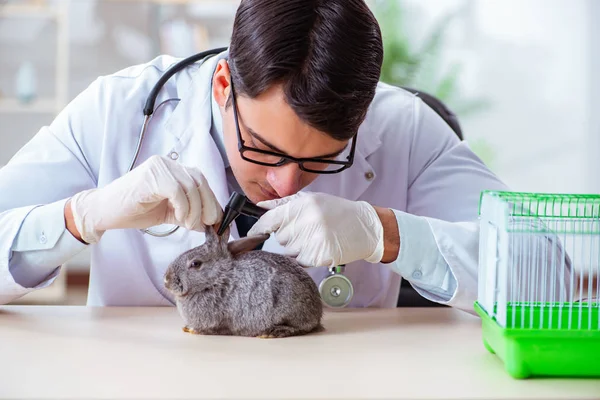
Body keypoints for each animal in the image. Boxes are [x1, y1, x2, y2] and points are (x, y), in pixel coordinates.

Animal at [163, 225, 324, 338]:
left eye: (195, 264)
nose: (166, 280)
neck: (216, 279)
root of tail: (317, 314)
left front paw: (192, 329)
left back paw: (272, 332)